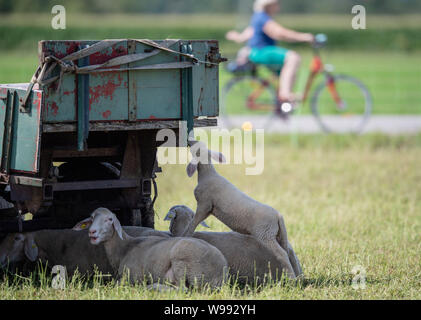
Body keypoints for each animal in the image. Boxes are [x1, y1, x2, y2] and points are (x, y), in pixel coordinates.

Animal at [74, 206, 228, 288]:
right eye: (92, 218)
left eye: (109, 219)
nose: (92, 231)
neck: (124, 248)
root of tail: (220, 271)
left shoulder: (130, 277)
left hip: (182, 259)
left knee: (182, 289)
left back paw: (153, 287)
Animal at [182, 140, 296, 278]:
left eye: (196, 147)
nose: (189, 141)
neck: (207, 174)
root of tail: (278, 216)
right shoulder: (208, 208)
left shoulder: (205, 204)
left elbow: (194, 222)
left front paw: (184, 235)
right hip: (277, 234)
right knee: (287, 250)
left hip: (265, 234)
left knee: (282, 254)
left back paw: (291, 277)